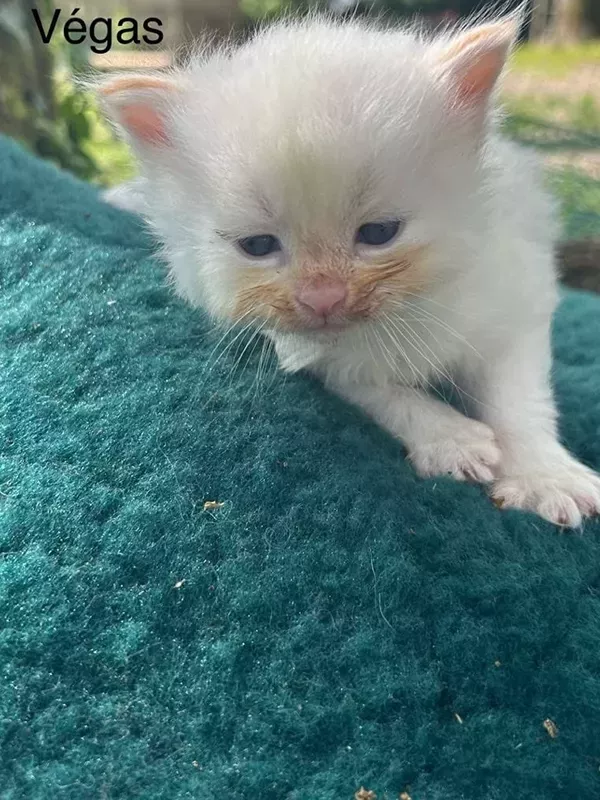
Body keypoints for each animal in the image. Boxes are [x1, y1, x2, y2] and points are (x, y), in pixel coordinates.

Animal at [98, 10, 600, 532]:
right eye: (258, 246)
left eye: (378, 233)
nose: (323, 298)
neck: (406, 309)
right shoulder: (310, 349)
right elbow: (375, 388)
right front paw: (449, 438)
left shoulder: (515, 295)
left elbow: (517, 399)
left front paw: (545, 476)